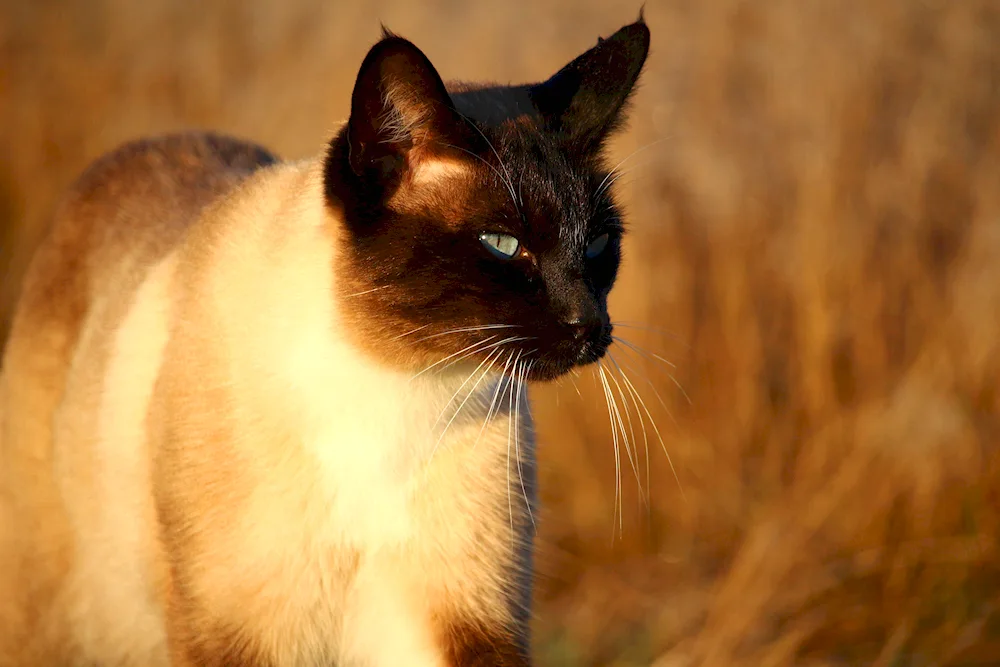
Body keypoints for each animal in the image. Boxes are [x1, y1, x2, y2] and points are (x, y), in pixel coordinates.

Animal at [0, 11, 648, 667]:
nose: (590, 326)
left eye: (598, 246)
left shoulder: (460, 619)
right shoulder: (246, 635)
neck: (397, 388)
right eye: (503, 245)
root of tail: (144, 146)